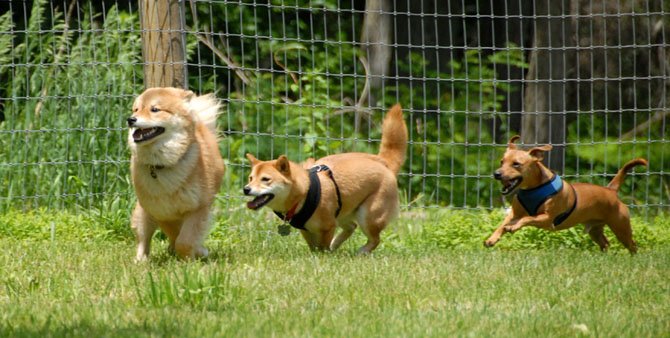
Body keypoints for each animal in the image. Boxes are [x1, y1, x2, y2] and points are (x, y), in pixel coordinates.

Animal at [127, 88, 227, 262]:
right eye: (136, 109)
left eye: (155, 109)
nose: (131, 119)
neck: (160, 165)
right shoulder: (158, 211)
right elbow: (169, 236)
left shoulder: (197, 209)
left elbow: (185, 239)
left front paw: (189, 258)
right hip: (142, 212)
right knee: (143, 238)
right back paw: (141, 261)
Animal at [244, 103, 406, 254]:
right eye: (250, 178)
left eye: (265, 179)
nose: (246, 189)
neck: (303, 193)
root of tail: (383, 162)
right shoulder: (306, 229)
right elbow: (313, 246)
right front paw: (315, 255)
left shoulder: (328, 227)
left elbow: (322, 247)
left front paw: (323, 257)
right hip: (343, 213)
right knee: (352, 227)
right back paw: (336, 245)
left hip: (367, 216)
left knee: (375, 239)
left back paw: (361, 252)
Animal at [486, 135, 648, 254]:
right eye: (502, 162)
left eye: (516, 164)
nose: (496, 174)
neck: (533, 189)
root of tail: (611, 190)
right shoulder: (514, 213)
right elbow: (503, 223)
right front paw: (492, 238)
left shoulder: (547, 219)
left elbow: (526, 218)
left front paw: (513, 227)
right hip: (595, 230)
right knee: (605, 243)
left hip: (621, 227)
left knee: (632, 244)